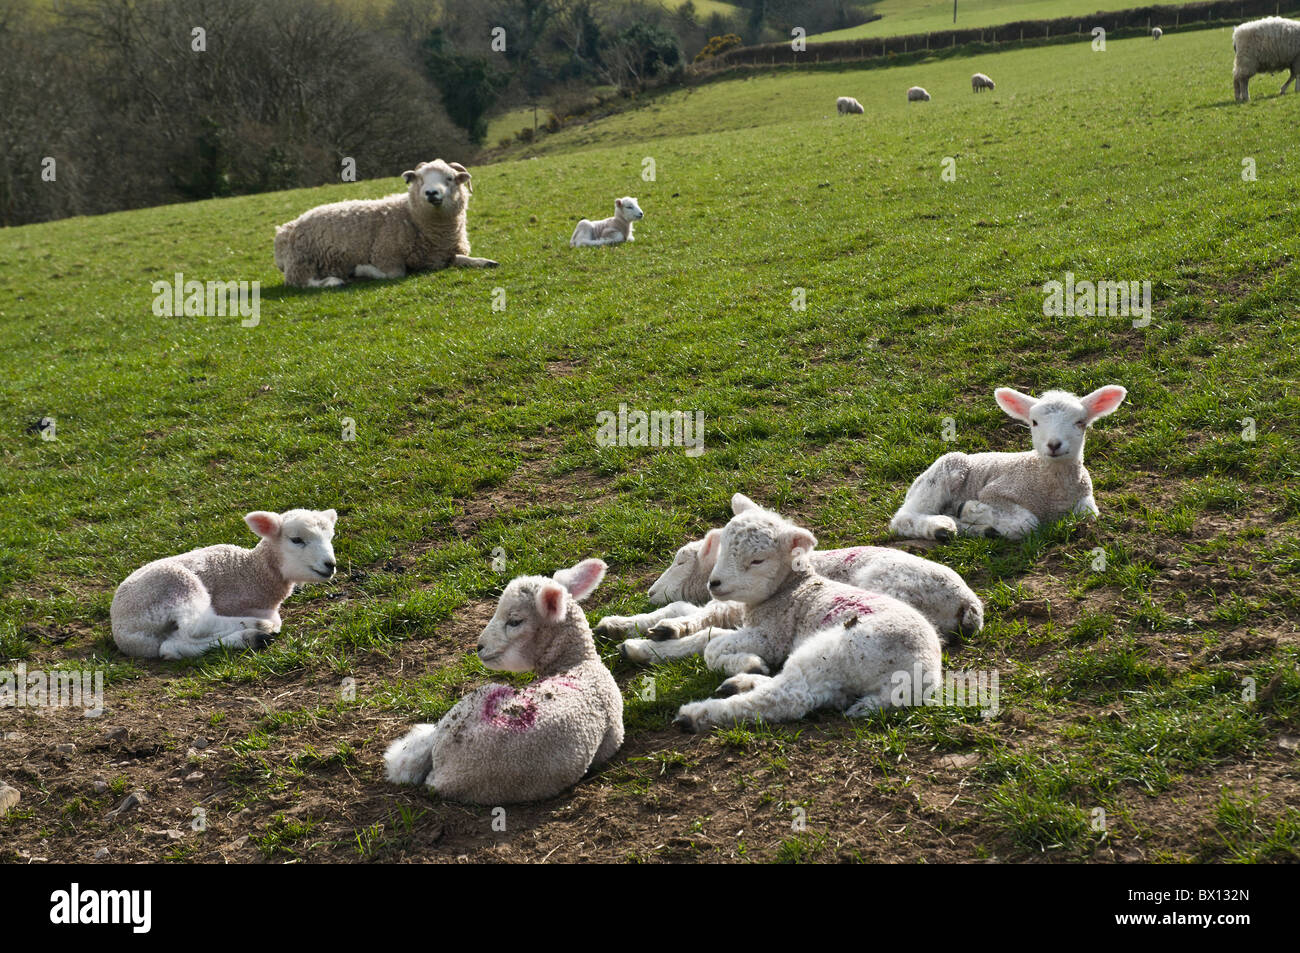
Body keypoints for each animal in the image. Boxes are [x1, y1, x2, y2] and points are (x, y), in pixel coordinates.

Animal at [109, 509, 338, 657]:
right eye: (296, 540)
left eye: (330, 537)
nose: (330, 565)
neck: (252, 570)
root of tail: (122, 632)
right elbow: (275, 620)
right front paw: (263, 622)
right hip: (173, 583)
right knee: (196, 626)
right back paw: (257, 626)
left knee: (171, 647)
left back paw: (251, 637)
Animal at [274, 157, 496, 286]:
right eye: (420, 179)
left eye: (450, 178)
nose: (431, 193)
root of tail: (286, 230)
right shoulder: (385, 255)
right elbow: (394, 274)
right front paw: (361, 270)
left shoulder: (443, 255)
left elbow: (463, 259)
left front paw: (485, 261)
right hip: (302, 262)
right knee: (300, 282)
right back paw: (334, 281)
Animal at [665, 494, 941, 733]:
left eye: (757, 561)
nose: (714, 584)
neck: (792, 589)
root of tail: (921, 677)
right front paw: (749, 665)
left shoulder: (773, 635)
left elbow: (711, 649)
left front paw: (749, 661)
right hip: (840, 676)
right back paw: (740, 683)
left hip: (838, 653)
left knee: (788, 697)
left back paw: (695, 715)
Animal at [889, 382, 1123, 538]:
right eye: (1034, 422)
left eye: (1080, 422)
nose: (1054, 445)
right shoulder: (994, 492)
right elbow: (1027, 523)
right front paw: (970, 508)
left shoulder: (1084, 496)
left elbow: (1088, 515)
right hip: (945, 469)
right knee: (902, 518)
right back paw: (940, 528)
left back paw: (979, 530)